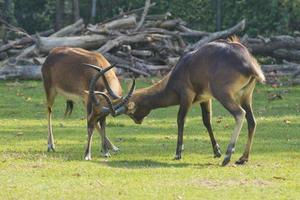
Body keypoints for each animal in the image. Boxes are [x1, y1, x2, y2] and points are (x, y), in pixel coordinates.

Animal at [91, 37, 264, 166]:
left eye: (130, 112)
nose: (138, 121)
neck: (181, 68)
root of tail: (249, 64)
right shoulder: (205, 99)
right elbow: (207, 121)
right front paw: (216, 151)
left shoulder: (186, 96)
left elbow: (180, 120)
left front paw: (178, 153)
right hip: (246, 96)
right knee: (252, 121)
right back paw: (242, 158)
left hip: (224, 95)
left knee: (239, 114)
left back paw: (228, 157)